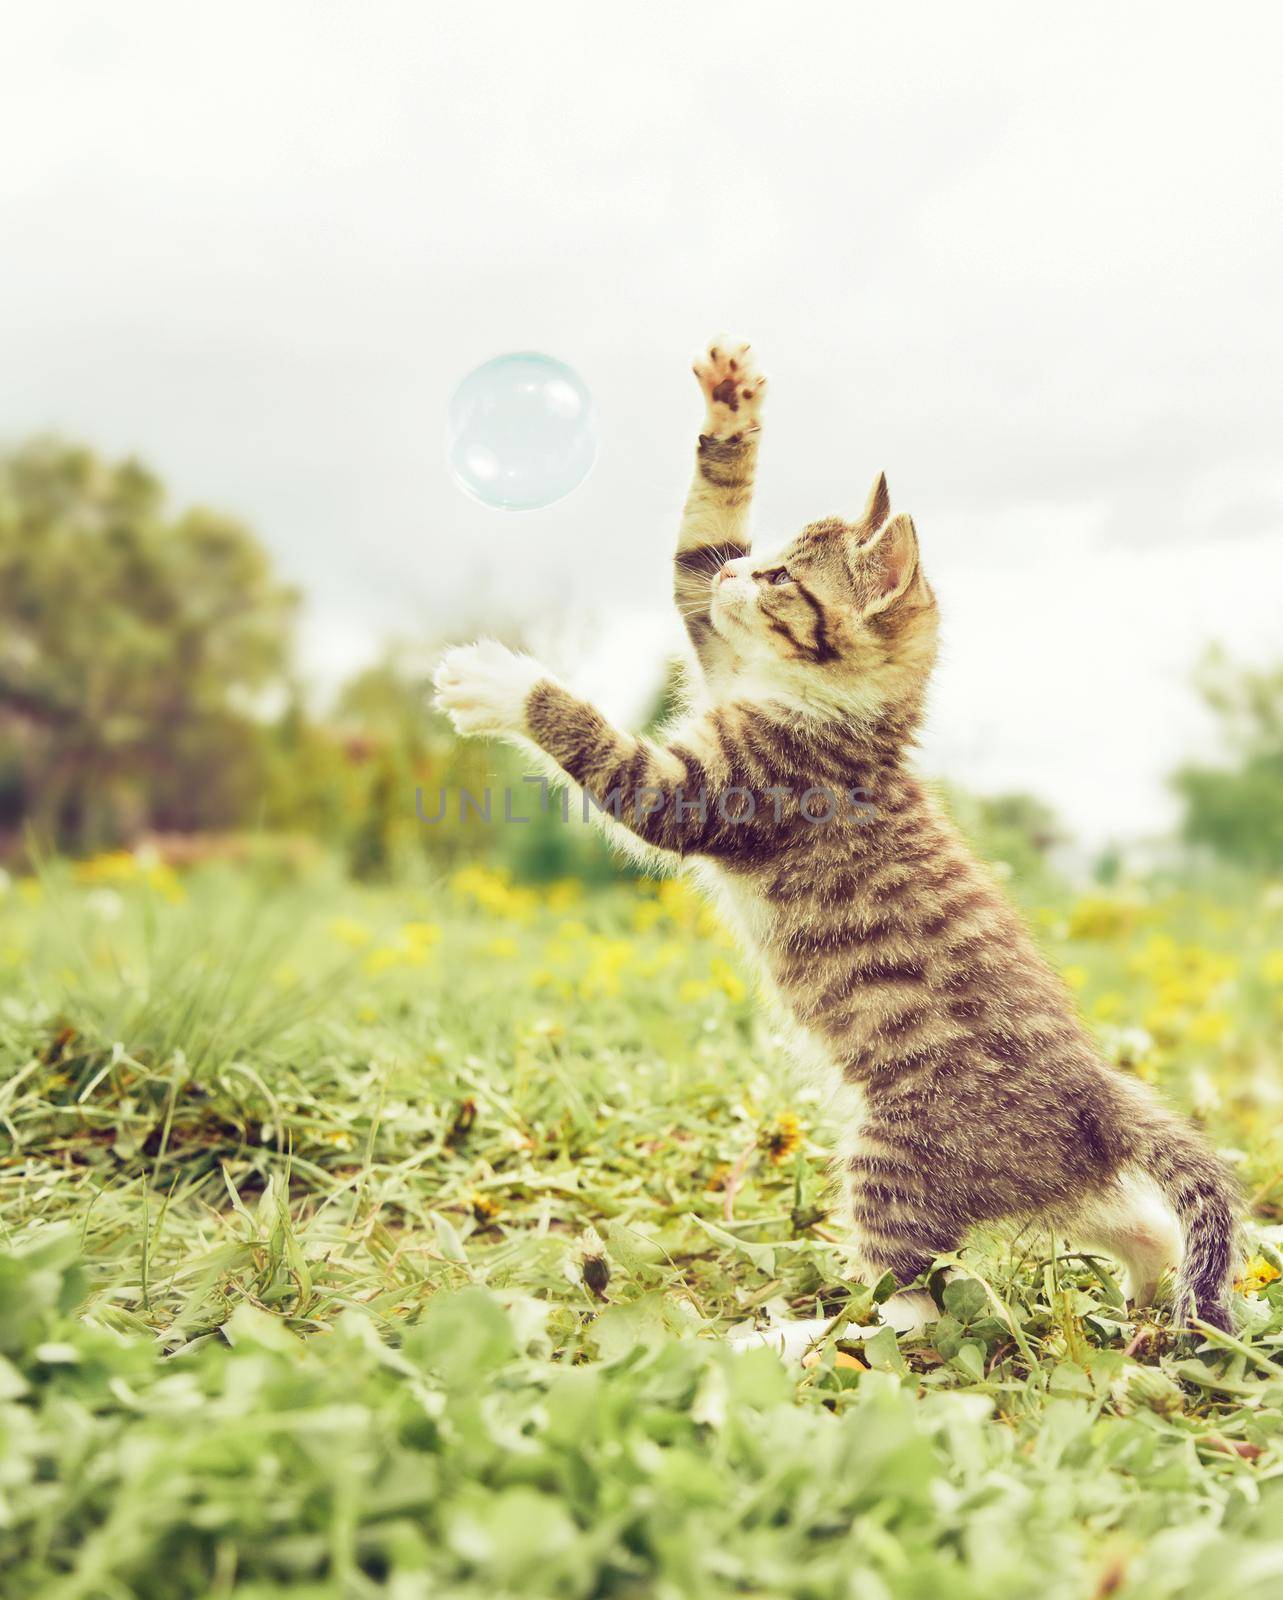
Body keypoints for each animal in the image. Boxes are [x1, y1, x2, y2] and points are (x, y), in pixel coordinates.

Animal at [435, 340, 1235, 1350]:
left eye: (783, 580)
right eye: (758, 557)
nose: (741, 576)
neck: (831, 710)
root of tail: (1093, 1091)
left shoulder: (717, 791)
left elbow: (604, 751)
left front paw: (501, 683)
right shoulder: (713, 648)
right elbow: (688, 551)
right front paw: (730, 407)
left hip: (892, 1155)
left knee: (907, 1310)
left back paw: (790, 1338)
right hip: (1041, 1182)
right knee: (1133, 1223)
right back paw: (1141, 1291)